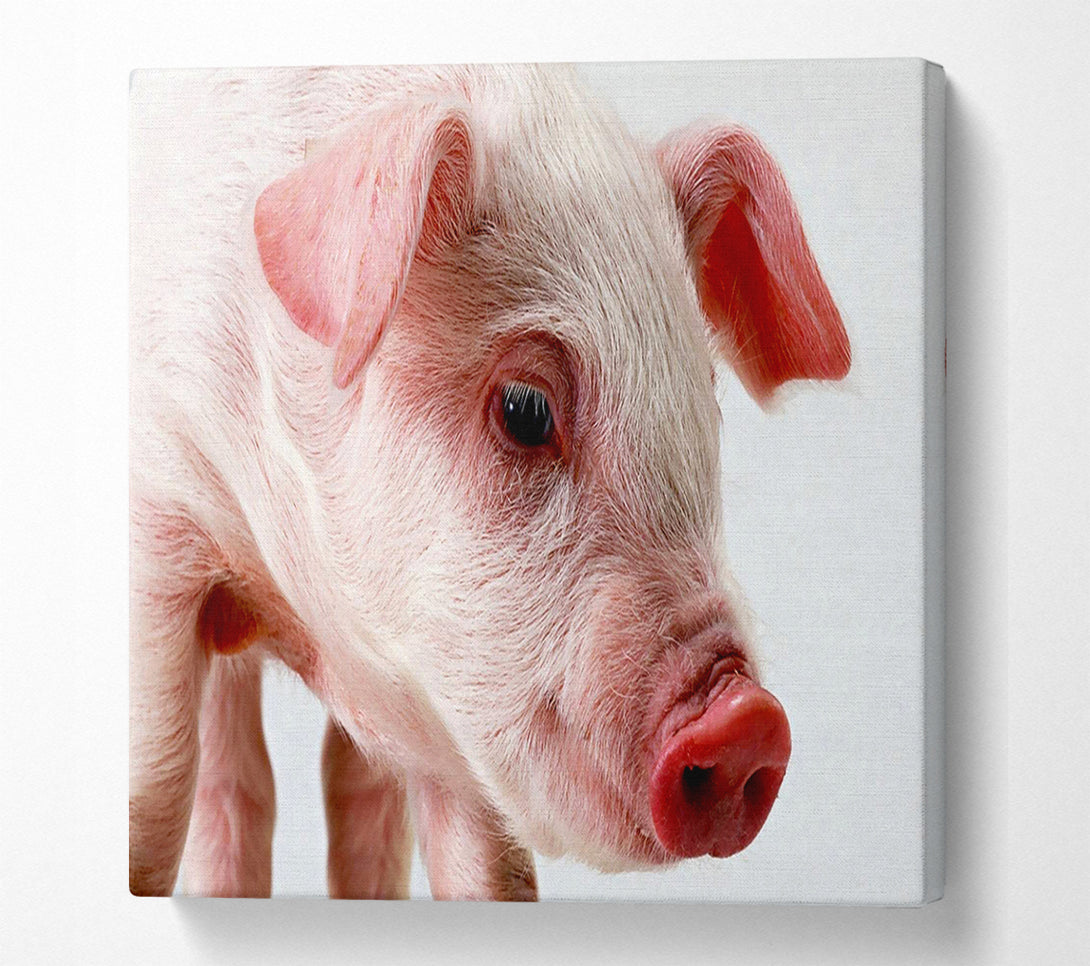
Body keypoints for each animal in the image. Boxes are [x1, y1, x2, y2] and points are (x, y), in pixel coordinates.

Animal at [129, 64, 850, 900]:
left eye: (706, 396)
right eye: (525, 408)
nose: (748, 722)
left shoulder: (453, 716)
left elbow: (487, 869)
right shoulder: (156, 514)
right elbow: (152, 791)